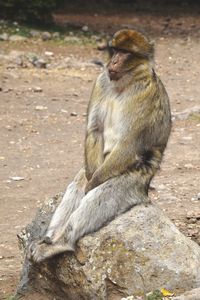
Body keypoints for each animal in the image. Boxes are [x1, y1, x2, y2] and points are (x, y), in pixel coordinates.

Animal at [28, 28, 171, 262]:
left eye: (125, 53)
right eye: (115, 50)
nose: (113, 61)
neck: (125, 84)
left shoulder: (146, 94)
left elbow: (129, 144)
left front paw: (93, 186)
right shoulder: (101, 81)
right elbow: (94, 130)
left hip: (135, 180)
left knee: (106, 190)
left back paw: (61, 242)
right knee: (80, 182)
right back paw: (50, 238)